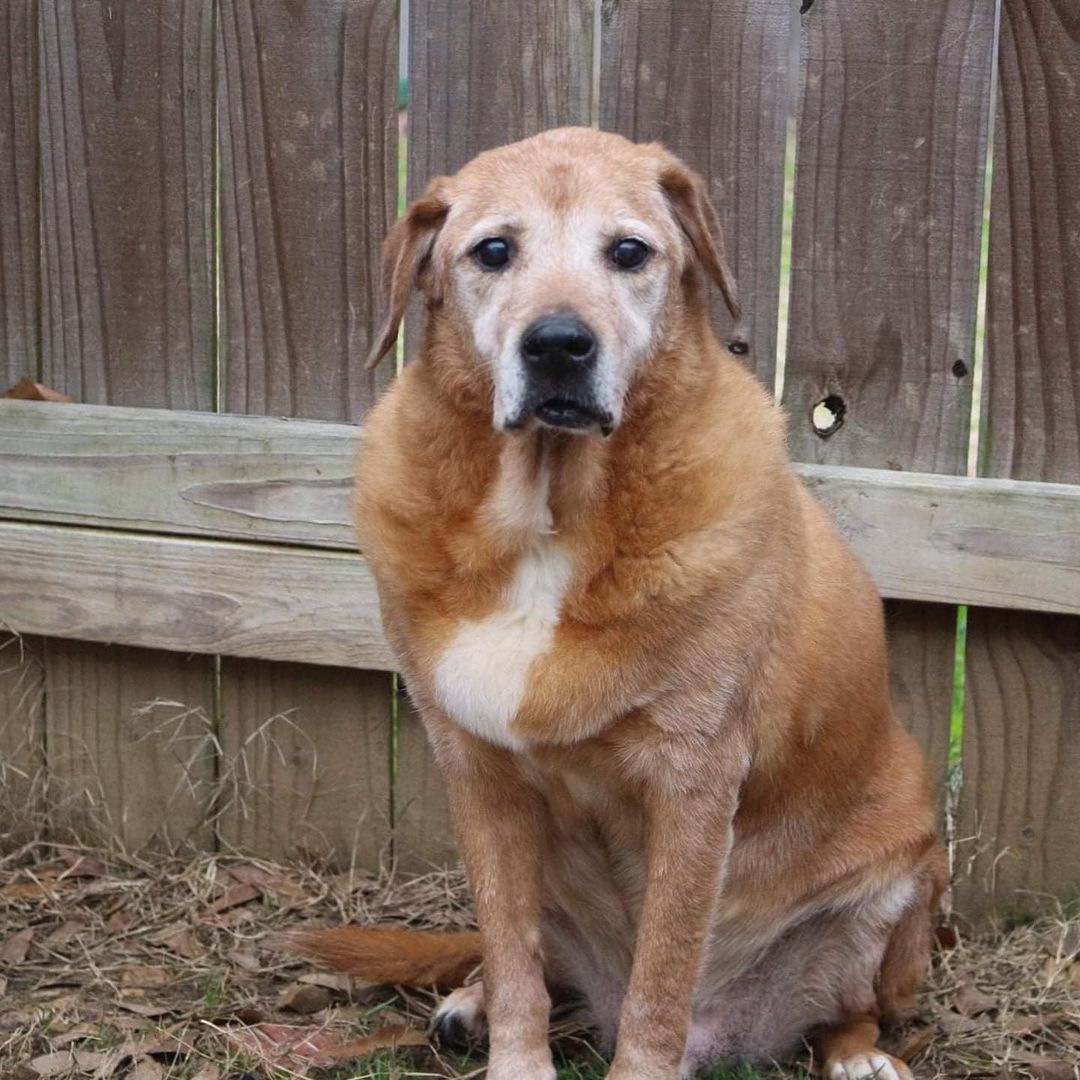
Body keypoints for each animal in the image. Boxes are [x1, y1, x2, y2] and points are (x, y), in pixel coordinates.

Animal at [298, 128, 946, 1080]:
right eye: (494, 251)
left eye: (630, 252)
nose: (558, 345)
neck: (551, 514)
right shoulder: (477, 775)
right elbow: (513, 957)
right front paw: (513, 1052)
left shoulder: (693, 782)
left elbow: (661, 981)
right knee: (530, 962)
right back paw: (471, 1003)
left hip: (901, 892)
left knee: (850, 1009)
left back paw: (856, 1054)